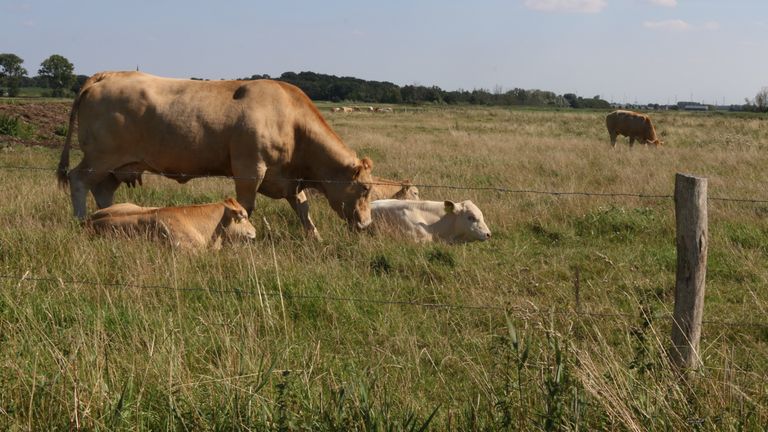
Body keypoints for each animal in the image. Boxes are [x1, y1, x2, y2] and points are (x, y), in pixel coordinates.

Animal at [57, 71, 376, 240]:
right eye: (365, 188)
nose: (366, 224)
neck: (292, 122)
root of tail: (108, 75)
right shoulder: (249, 170)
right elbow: (246, 206)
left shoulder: (287, 180)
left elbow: (303, 209)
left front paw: (316, 238)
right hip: (100, 158)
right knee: (78, 180)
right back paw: (80, 219)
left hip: (117, 165)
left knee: (103, 190)